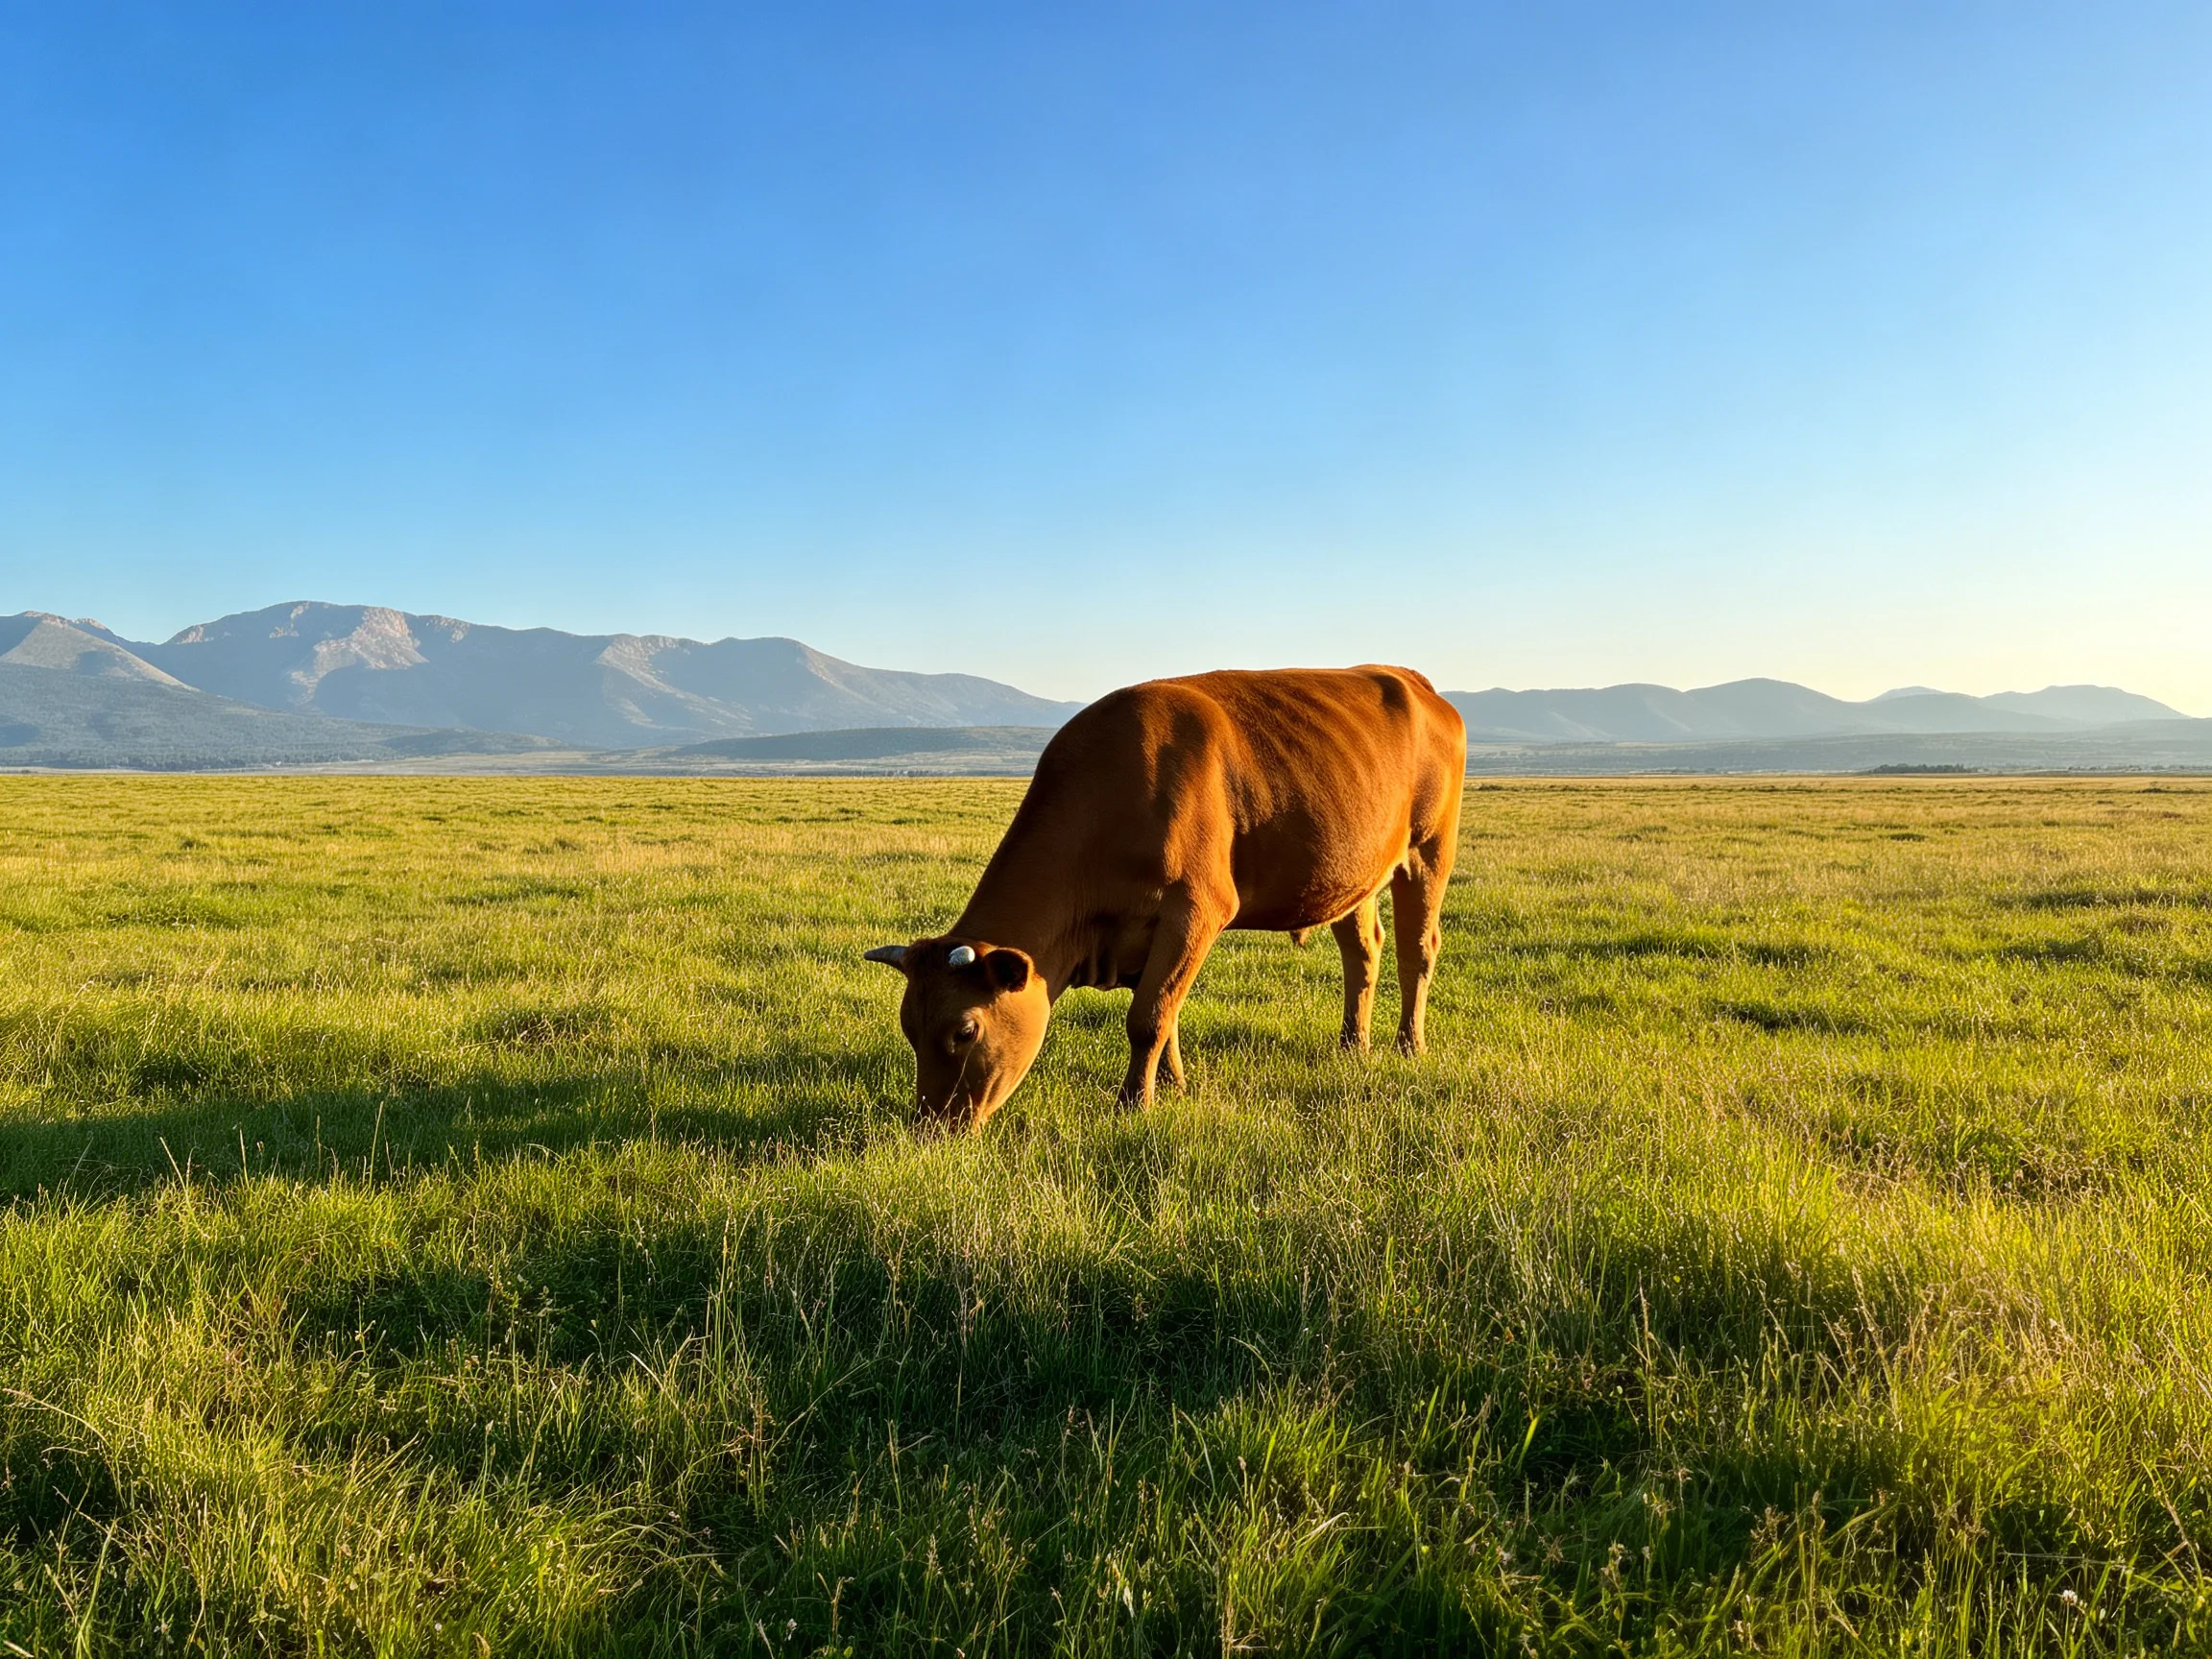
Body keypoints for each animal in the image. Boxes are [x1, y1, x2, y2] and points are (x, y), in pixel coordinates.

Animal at [865, 665, 1467, 1130]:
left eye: (965, 1030)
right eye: (909, 1027)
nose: (932, 1126)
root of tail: (1415, 682)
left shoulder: (1196, 910)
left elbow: (1149, 1017)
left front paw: (1134, 1104)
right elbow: (1168, 1012)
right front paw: (1173, 1087)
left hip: (1428, 852)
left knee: (1417, 951)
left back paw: (1408, 1045)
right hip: (1353, 876)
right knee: (1362, 952)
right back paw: (1351, 1045)